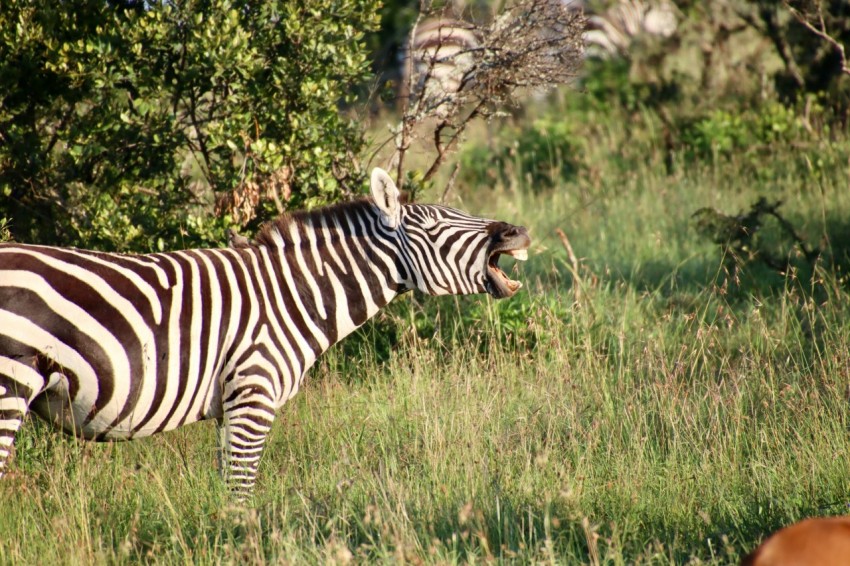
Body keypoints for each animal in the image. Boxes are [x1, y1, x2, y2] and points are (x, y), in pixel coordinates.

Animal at [0, 168, 530, 499]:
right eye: (438, 223)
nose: (518, 232)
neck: (293, 295)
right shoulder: (254, 393)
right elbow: (242, 493)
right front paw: (241, 546)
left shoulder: (229, 406)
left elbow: (226, 490)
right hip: (11, 382)